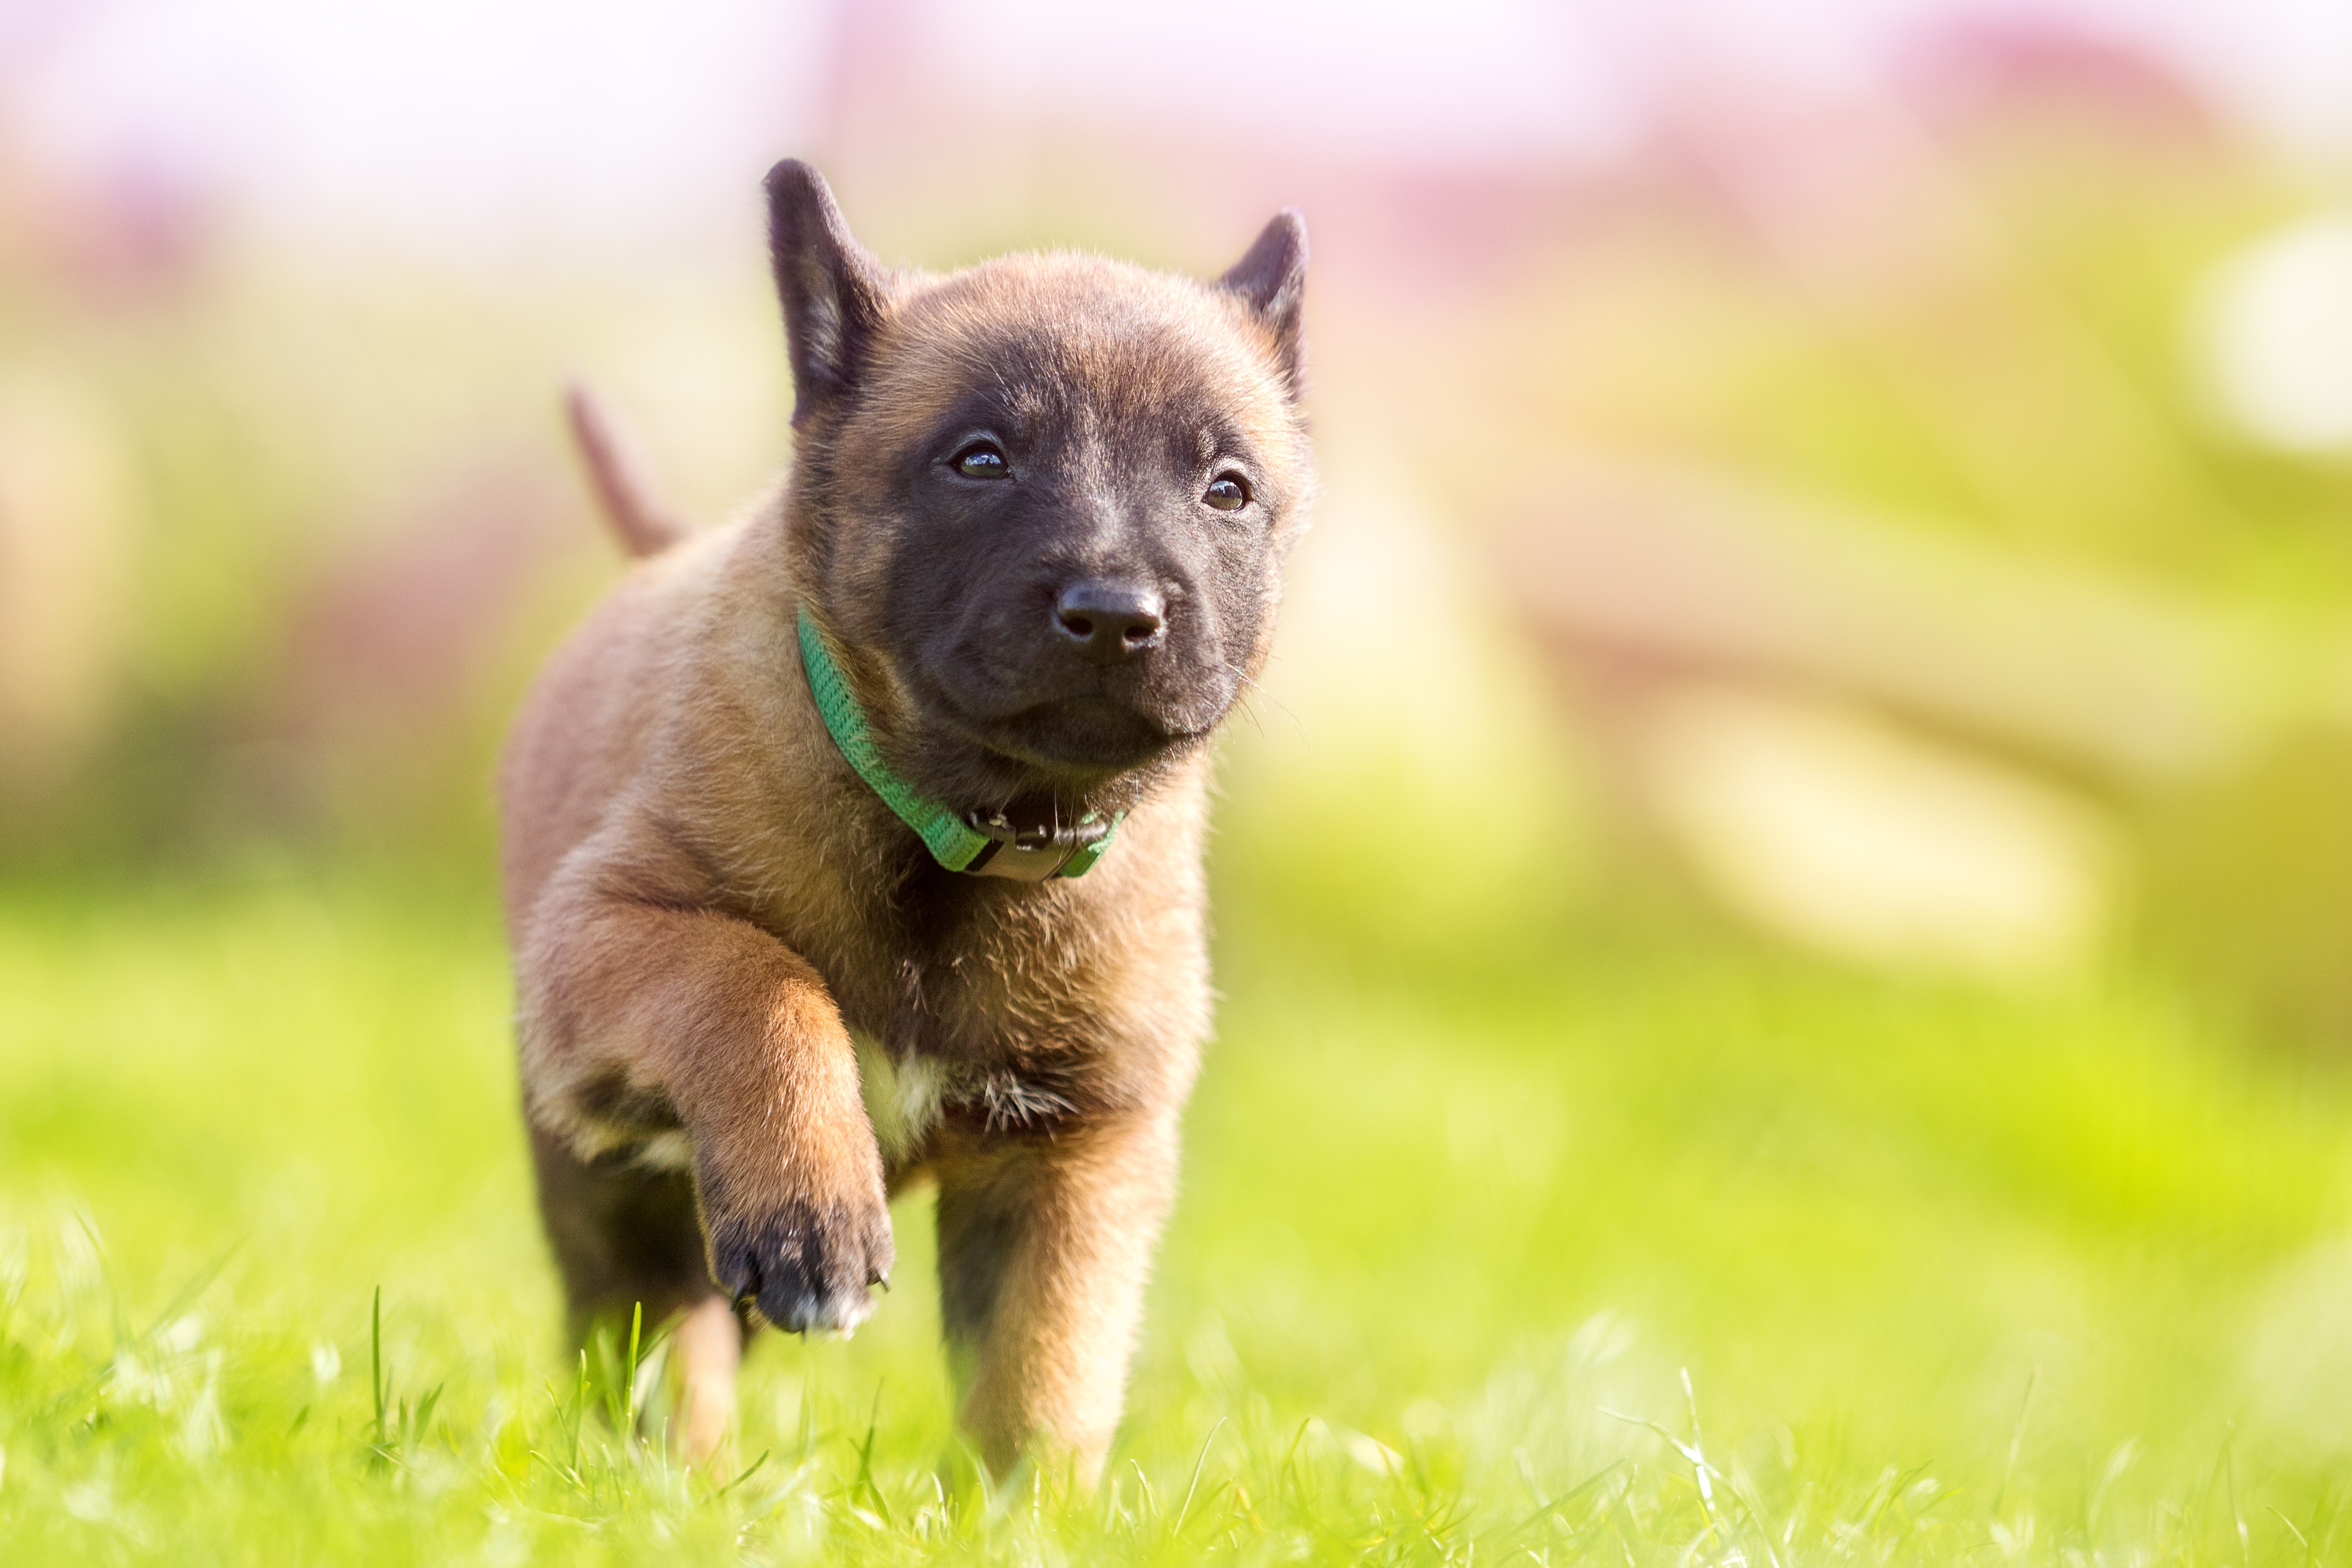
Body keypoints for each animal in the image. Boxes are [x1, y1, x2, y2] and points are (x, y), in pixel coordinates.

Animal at [503, 165, 1317, 1476]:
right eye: (979, 460)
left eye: (1226, 490)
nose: (1115, 613)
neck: (969, 832)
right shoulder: (610, 930)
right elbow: (757, 978)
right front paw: (810, 1211)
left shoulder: (1072, 1154)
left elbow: (1040, 1375)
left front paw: (1028, 1508)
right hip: (608, 1187)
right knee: (657, 1330)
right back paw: (671, 1473)